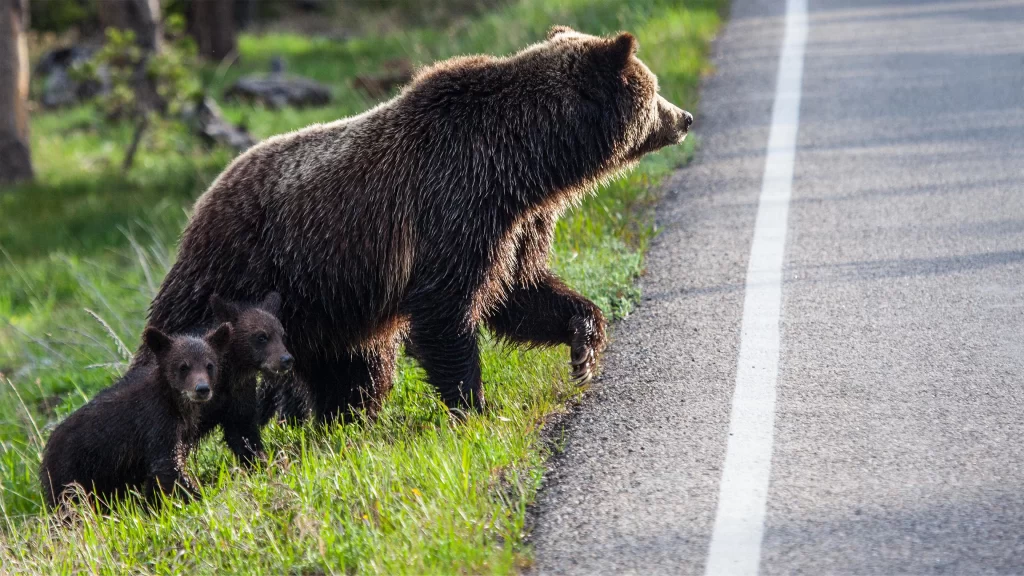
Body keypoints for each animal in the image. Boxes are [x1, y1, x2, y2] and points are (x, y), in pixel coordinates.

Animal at [40, 324, 231, 510]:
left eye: (209, 365)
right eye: (183, 366)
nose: (202, 389)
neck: (174, 402)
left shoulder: (182, 430)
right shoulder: (156, 422)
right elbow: (167, 465)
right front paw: (199, 496)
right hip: (70, 472)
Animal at [141, 26, 692, 422]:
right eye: (654, 91)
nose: (684, 117)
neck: (528, 164)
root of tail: (203, 199)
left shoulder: (517, 223)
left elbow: (520, 292)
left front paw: (584, 345)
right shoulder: (455, 205)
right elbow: (447, 310)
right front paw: (474, 405)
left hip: (327, 310)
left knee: (357, 373)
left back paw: (346, 422)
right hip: (240, 269)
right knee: (174, 336)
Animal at [197, 292, 293, 467]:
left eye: (282, 335)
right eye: (261, 336)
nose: (286, 359)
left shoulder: (240, 396)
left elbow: (244, 435)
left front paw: (260, 463)